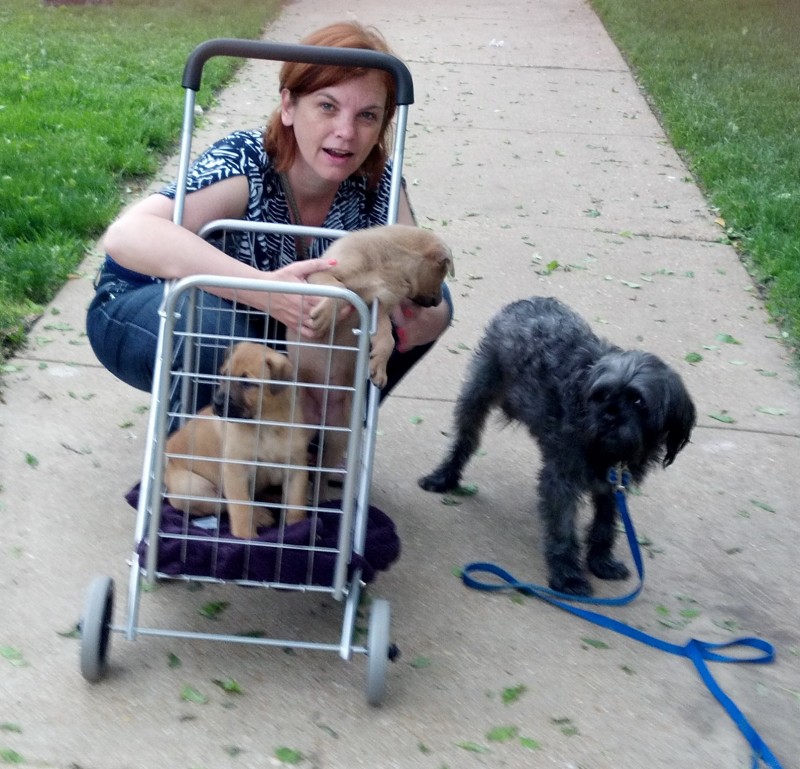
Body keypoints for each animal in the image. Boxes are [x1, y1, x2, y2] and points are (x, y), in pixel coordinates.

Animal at [164, 344, 310, 540]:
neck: (265, 424)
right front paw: (245, 536)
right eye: (224, 375)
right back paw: (260, 514)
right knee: (223, 503)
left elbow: (296, 502)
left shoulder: (296, 467)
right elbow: (241, 507)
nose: (217, 403)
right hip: (192, 487)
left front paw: (298, 526)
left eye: (246, 383)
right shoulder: (236, 471)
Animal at [288, 222, 454, 486]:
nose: (439, 302)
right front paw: (326, 314)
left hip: (339, 437)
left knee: (322, 472)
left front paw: (379, 366)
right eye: (441, 274)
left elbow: (388, 338)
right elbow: (339, 287)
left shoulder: (378, 307)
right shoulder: (322, 273)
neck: (389, 263)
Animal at [418, 294, 692, 592]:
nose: (609, 415)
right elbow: (563, 530)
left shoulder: (611, 488)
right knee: (464, 441)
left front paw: (600, 561)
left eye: (638, 400)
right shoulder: (561, 481)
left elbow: (605, 525)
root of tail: (527, 301)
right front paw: (568, 575)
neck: (606, 453)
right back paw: (443, 477)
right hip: (477, 395)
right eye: (600, 395)